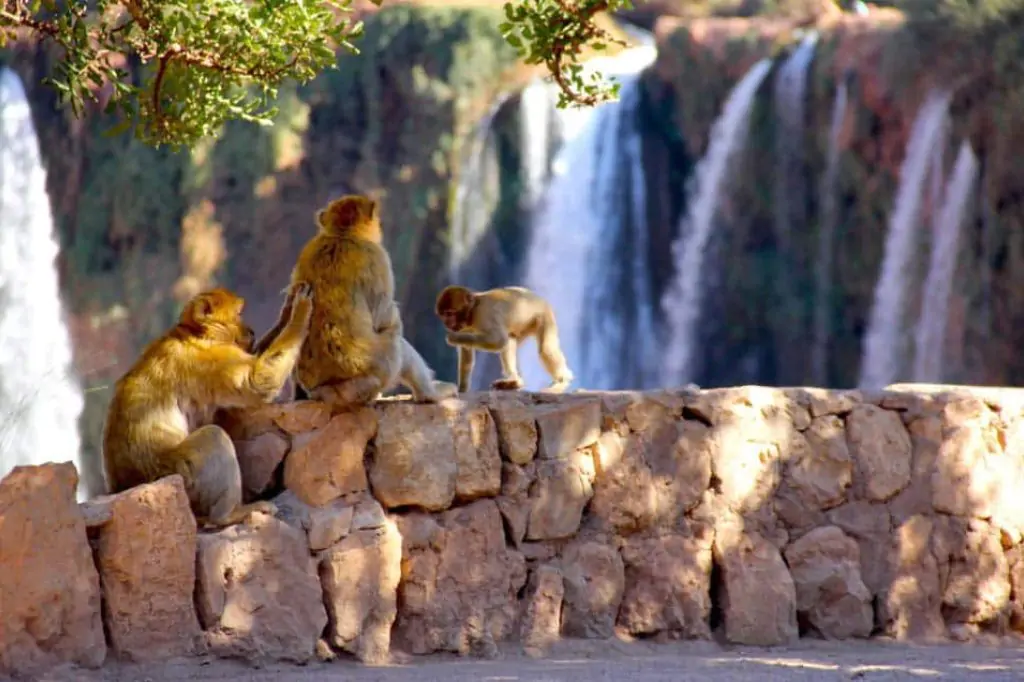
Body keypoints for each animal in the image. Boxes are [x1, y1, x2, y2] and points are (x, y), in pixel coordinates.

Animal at [103, 280, 313, 524]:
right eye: (239, 314)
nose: (250, 331)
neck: (194, 334)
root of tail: (127, 484)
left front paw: (286, 311)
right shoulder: (210, 360)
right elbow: (258, 382)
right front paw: (300, 311)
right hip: (179, 477)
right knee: (213, 436)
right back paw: (228, 515)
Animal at [266, 192, 454, 403]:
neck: (342, 235)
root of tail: (332, 389)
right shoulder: (377, 256)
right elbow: (384, 316)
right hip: (377, 369)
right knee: (396, 342)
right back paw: (429, 393)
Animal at [434, 282, 577, 391]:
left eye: (450, 314)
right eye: (443, 315)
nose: (447, 323)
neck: (472, 312)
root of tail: (538, 298)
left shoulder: (484, 314)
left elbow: (499, 340)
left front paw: (453, 338)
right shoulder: (465, 327)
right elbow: (467, 353)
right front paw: (462, 389)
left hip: (543, 315)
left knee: (545, 348)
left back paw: (563, 380)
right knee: (511, 341)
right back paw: (514, 381)